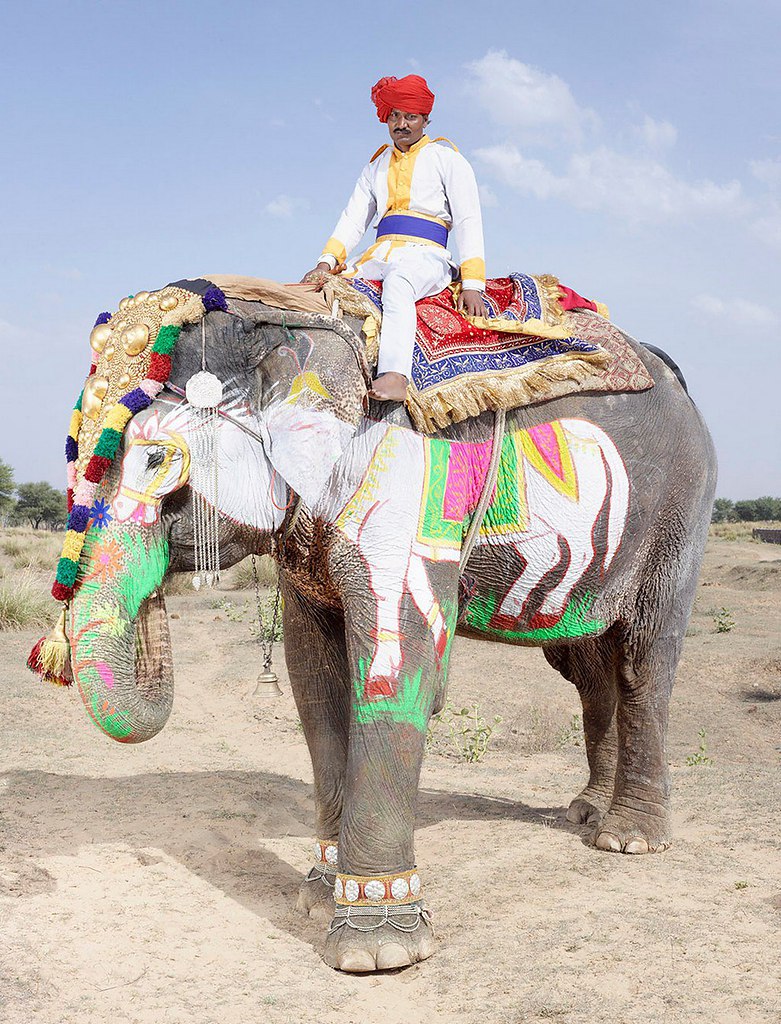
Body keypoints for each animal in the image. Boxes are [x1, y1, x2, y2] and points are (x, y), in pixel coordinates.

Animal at [36, 280, 720, 974]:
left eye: (155, 459)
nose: (51, 650)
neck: (282, 322)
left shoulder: (402, 495)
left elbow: (398, 656)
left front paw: (376, 951)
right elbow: (313, 677)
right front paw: (319, 899)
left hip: (678, 512)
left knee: (641, 657)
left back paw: (629, 841)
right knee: (586, 667)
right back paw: (586, 814)